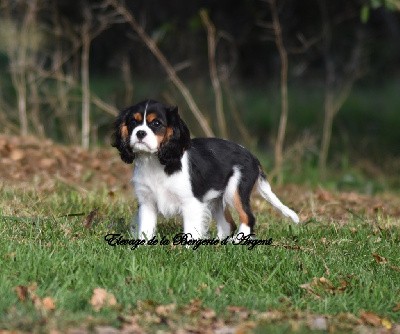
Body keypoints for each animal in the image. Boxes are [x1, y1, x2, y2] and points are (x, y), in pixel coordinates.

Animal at [112, 99, 300, 240]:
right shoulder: (147, 202)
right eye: (133, 122)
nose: (140, 133)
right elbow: (146, 228)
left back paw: (236, 241)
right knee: (227, 224)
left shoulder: (190, 203)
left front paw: (187, 252)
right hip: (216, 200)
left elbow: (190, 231)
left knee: (248, 218)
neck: (154, 161)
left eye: (156, 123)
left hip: (234, 191)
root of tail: (253, 157)